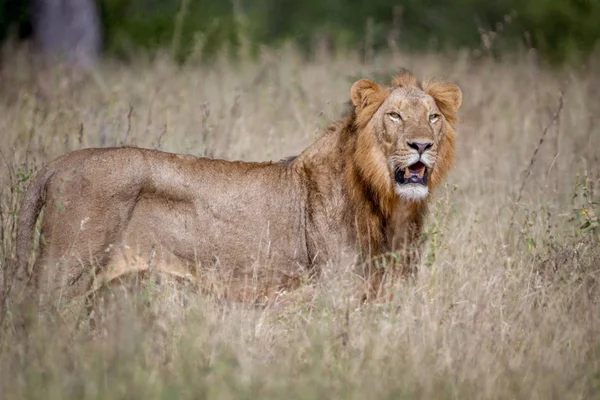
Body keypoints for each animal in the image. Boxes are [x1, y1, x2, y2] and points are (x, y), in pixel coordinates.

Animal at [15, 72, 464, 310]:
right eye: (395, 116)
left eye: (433, 117)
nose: (422, 145)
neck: (386, 204)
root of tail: (59, 162)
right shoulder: (334, 289)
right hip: (63, 271)